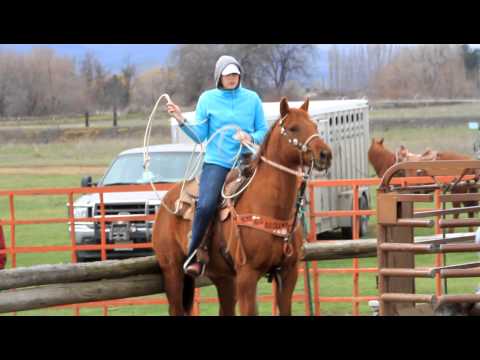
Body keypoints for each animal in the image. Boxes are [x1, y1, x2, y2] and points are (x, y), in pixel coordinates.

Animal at [152, 98, 332, 316]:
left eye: (314, 126)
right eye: (293, 128)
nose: (325, 154)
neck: (271, 210)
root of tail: (166, 202)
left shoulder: (288, 273)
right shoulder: (247, 275)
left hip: (224, 278)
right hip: (172, 271)